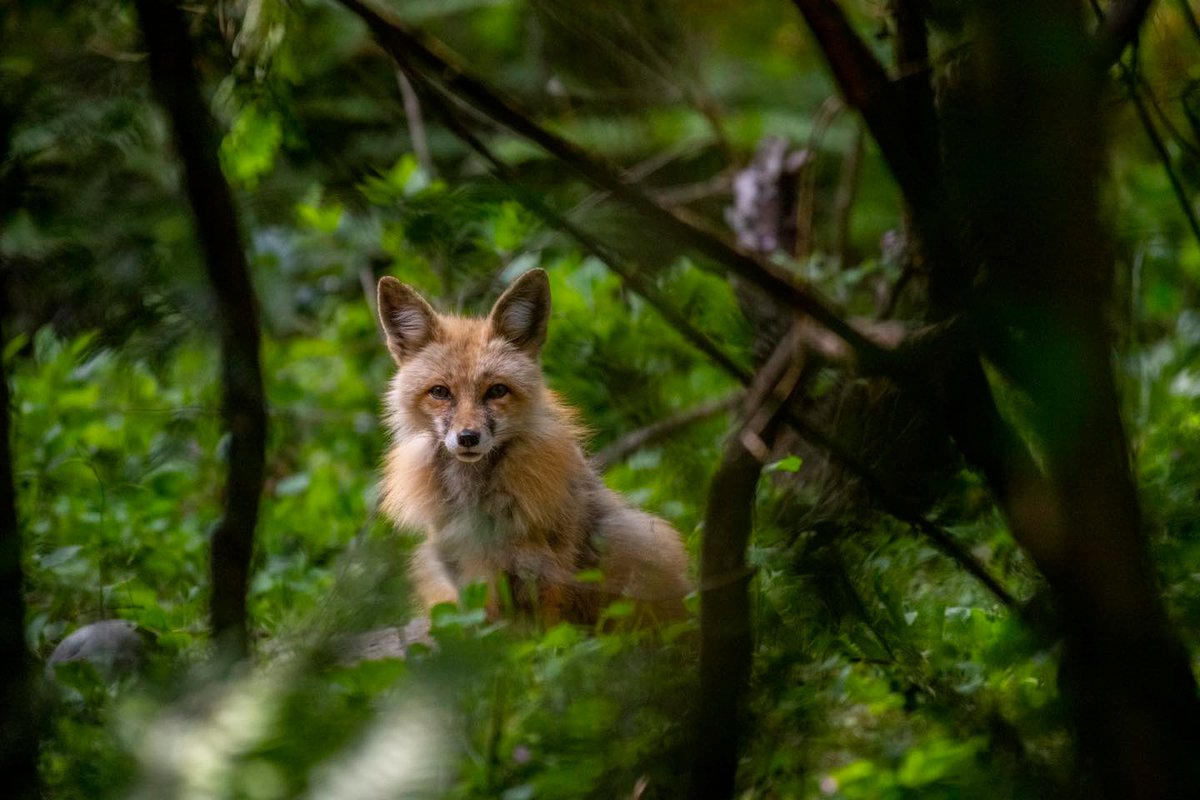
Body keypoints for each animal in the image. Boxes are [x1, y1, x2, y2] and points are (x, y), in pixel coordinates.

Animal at [375, 268, 691, 626]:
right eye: (440, 392)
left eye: (497, 391)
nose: (468, 437)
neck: (478, 508)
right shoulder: (464, 573)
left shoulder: (551, 568)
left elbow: (553, 637)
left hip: (635, 540)